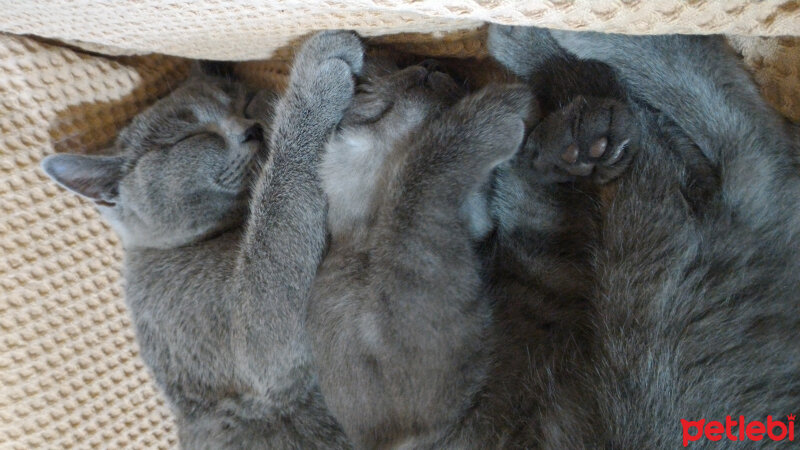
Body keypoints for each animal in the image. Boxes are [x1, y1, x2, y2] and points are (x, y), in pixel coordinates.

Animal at [39, 30, 360, 446]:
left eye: (244, 101)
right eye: (190, 137)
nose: (252, 127)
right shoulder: (256, 349)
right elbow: (279, 207)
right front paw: (315, 78)